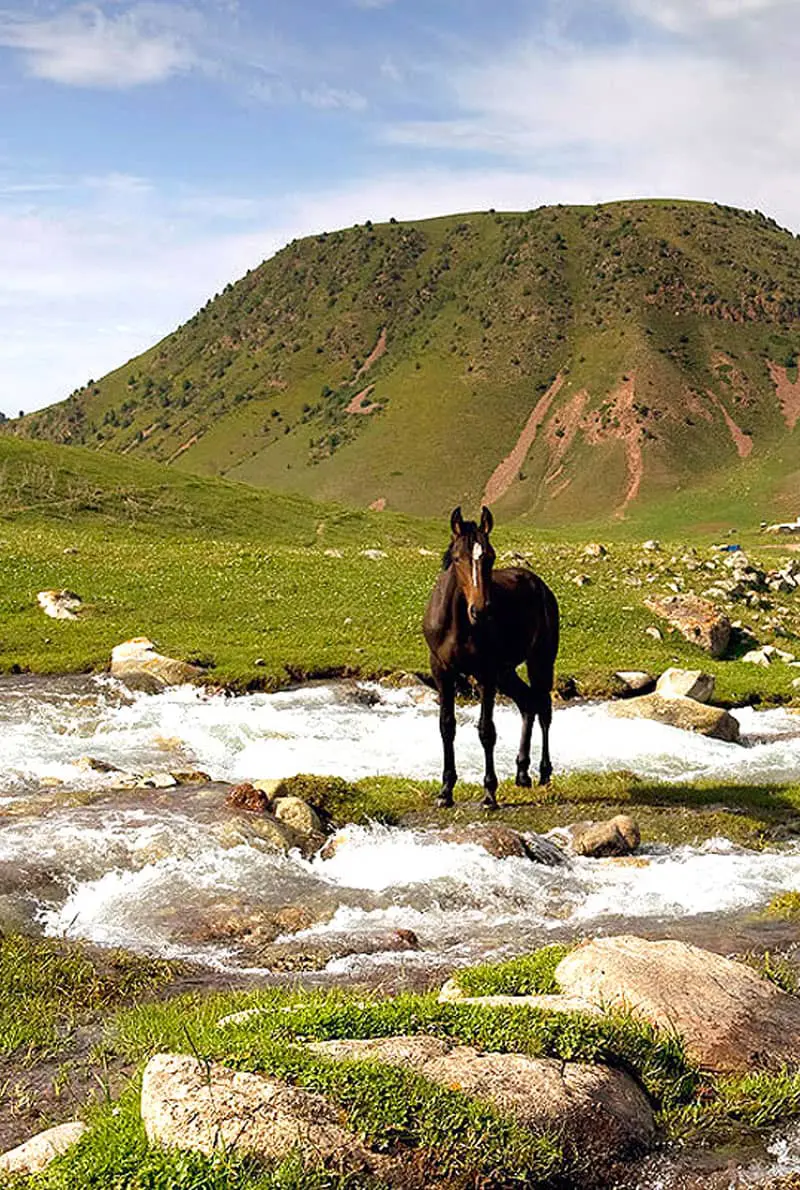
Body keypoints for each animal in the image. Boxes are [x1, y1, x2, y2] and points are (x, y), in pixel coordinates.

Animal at [422, 505, 559, 809]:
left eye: (490, 556)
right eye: (457, 558)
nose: (481, 610)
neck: (458, 624)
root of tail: (540, 585)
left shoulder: (485, 674)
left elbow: (486, 731)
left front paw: (489, 793)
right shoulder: (442, 672)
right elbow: (446, 726)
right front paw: (445, 791)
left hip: (540, 661)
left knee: (543, 708)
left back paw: (544, 772)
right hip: (506, 672)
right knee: (527, 704)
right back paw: (522, 772)